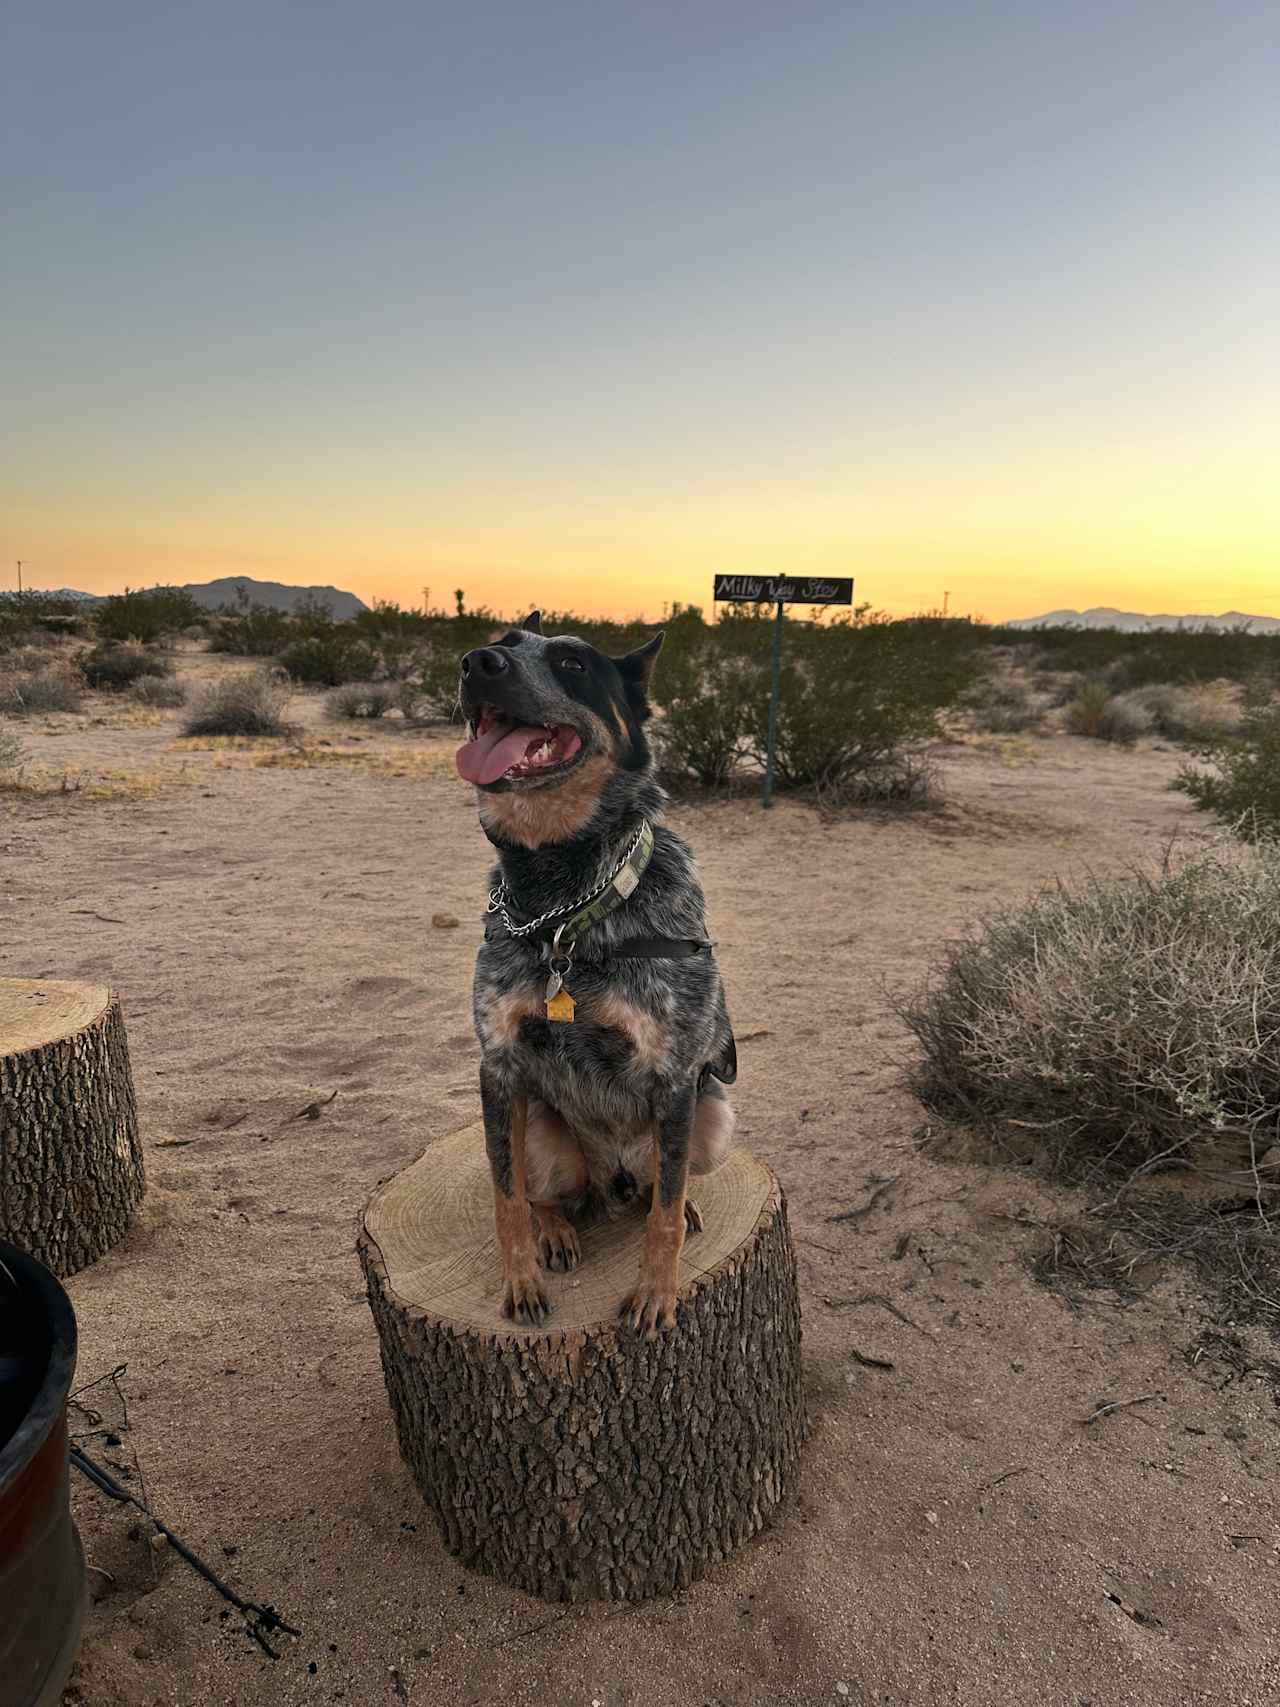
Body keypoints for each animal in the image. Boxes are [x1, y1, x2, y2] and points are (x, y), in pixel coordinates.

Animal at [456, 612, 737, 1336]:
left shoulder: (675, 1078)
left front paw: (656, 1294)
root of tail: (610, 1180)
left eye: (573, 664)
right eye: (503, 640)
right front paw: (521, 1281)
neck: (560, 906)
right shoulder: (498, 1067)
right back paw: (557, 1229)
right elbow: (505, 1196)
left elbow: (663, 1219)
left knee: (659, 1188)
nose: (477, 663)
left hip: (713, 1119)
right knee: (539, 1193)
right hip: (543, 1134)